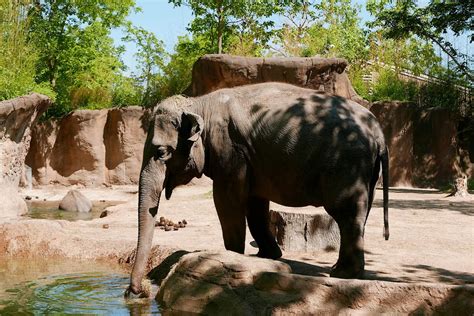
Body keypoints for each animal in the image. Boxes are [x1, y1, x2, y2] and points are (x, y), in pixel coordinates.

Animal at [126, 81, 388, 296]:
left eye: (161, 152)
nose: (137, 291)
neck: (199, 103)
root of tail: (379, 133)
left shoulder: (230, 151)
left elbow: (226, 201)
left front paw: (233, 256)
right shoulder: (251, 160)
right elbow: (255, 204)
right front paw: (267, 256)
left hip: (347, 164)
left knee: (346, 212)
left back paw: (342, 274)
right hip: (367, 172)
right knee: (359, 213)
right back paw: (342, 270)